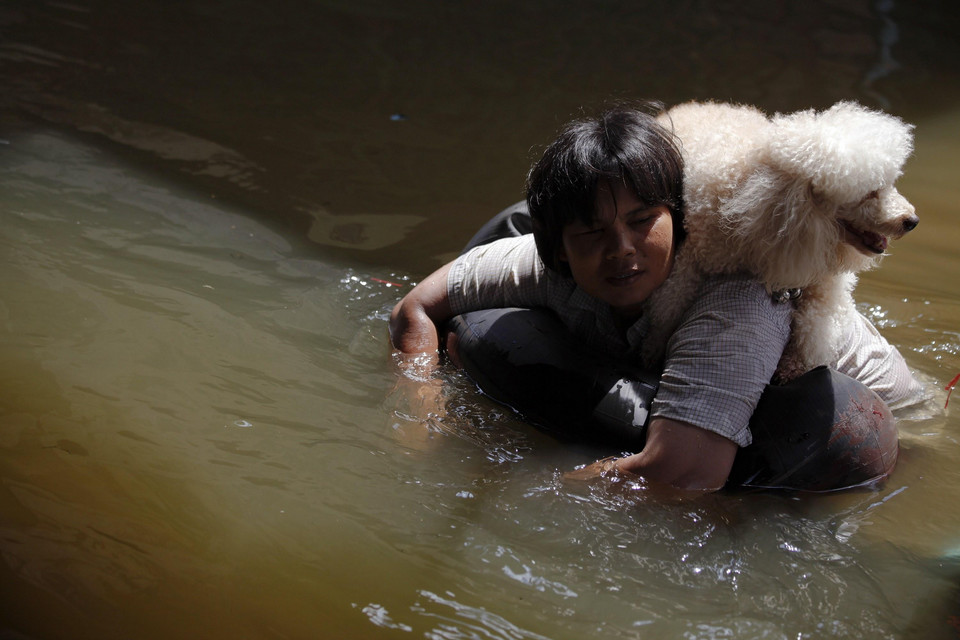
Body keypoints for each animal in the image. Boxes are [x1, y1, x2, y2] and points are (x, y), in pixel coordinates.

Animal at [640, 100, 920, 380]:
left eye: (890, 184)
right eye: (870, 193)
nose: (912, 220)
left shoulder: (823, 277)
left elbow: (818, 323)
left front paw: (793, 365)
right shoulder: (690, 256)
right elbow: (669, 303)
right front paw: (653, 346)